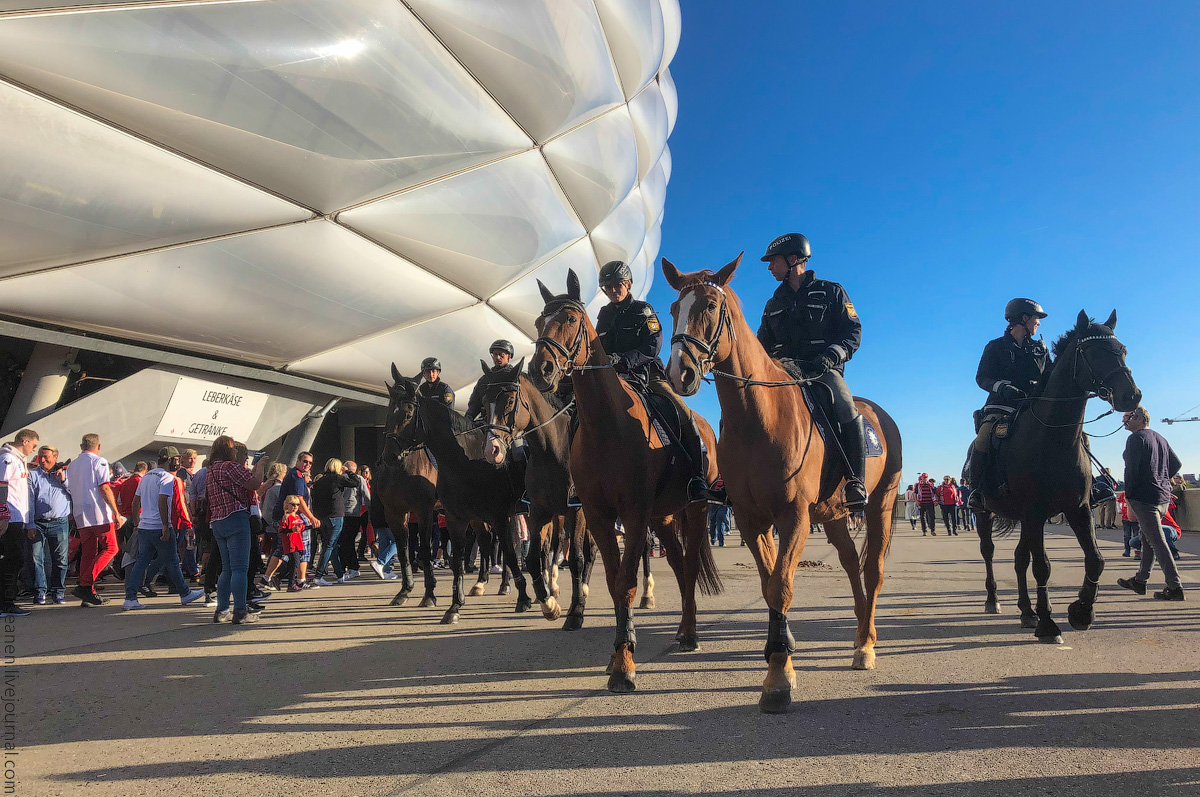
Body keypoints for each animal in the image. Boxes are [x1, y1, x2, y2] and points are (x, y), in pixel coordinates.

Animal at [472, 360, 595, 628]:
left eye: (509, 401)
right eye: (484, 401)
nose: (491, 450)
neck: (552, 451)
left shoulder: (576, 511)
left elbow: (577, 558)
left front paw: (576, 611)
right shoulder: (538, 512)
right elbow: (531, 558)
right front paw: (549, 604)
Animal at [528, 268, 720, 691]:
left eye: (570, 319)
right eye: (537, 323)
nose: (540, 370)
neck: (607, 425)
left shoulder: (632, 515)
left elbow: (627, 581)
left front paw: (624, 662)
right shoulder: (598, 515)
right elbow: (614, 579)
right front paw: (620, 647)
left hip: (695, 510)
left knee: (690, 566)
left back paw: (691, 633)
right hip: (663, 517)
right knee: (678, 564)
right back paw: (682, 629)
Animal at [657, 256, 902, 715]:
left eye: (711, 305)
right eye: (673, 309)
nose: (679, 373)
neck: (758, 418)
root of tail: (878, 414)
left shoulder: (793, 518)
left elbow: (781, 586)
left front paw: (777, 679)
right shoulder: (752, 520)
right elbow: (769, 586)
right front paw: (780, 656)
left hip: (880, 504)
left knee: (873, 570)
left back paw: (867, 645)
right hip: (834, 516)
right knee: (850, 565)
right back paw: (859, 635)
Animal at [969, 307, 1137, 643]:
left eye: (1123, 350)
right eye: (1094, 351)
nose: (1132, 396)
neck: (1053, 438)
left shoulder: (1078, 508)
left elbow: (1095, 559)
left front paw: (1081, 611)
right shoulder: (1035, 512)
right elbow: (1042, 567)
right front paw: (1049, 624)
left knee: (1019, 558)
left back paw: (1026, 612)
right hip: (985, 512)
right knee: (989, 552)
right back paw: (994, 600)